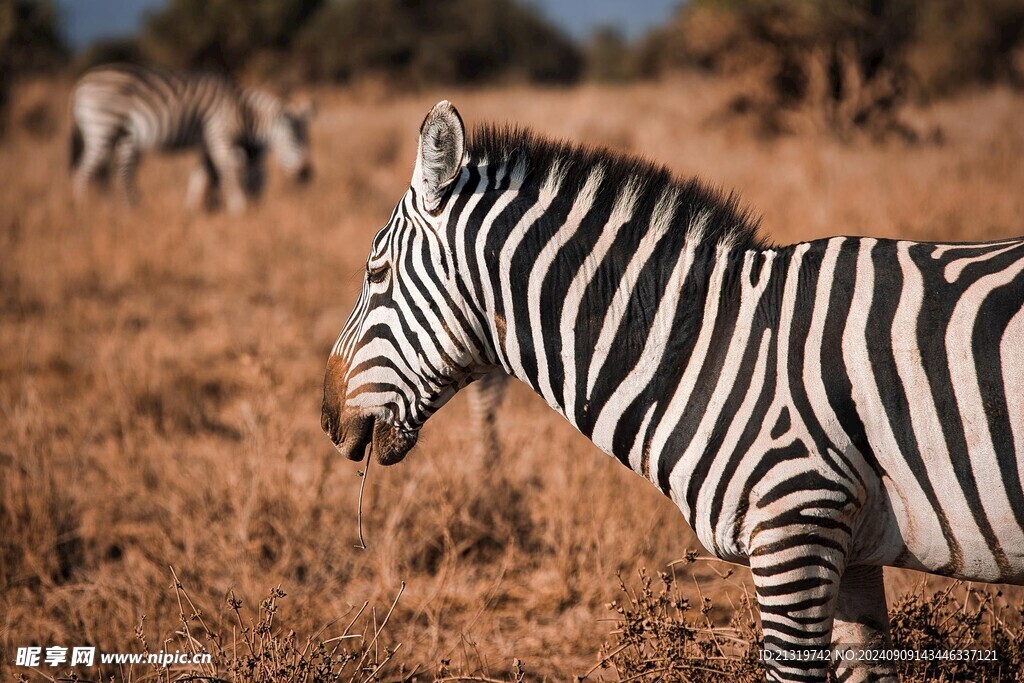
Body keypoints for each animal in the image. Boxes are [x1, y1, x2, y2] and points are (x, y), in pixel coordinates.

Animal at [70, 64, 313, 215]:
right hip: (102, 127)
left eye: (309, 140)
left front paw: (193, 209)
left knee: (119, 173)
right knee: (83, 172)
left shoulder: (207, 143)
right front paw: (238, 208)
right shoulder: (218, 135)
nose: (307, 175)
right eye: (294, 138)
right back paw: (84, 210)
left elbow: (200, 175)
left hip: (123, 137)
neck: (242, 111)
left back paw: (126, 209)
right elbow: (226, 171)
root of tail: (82, 82)